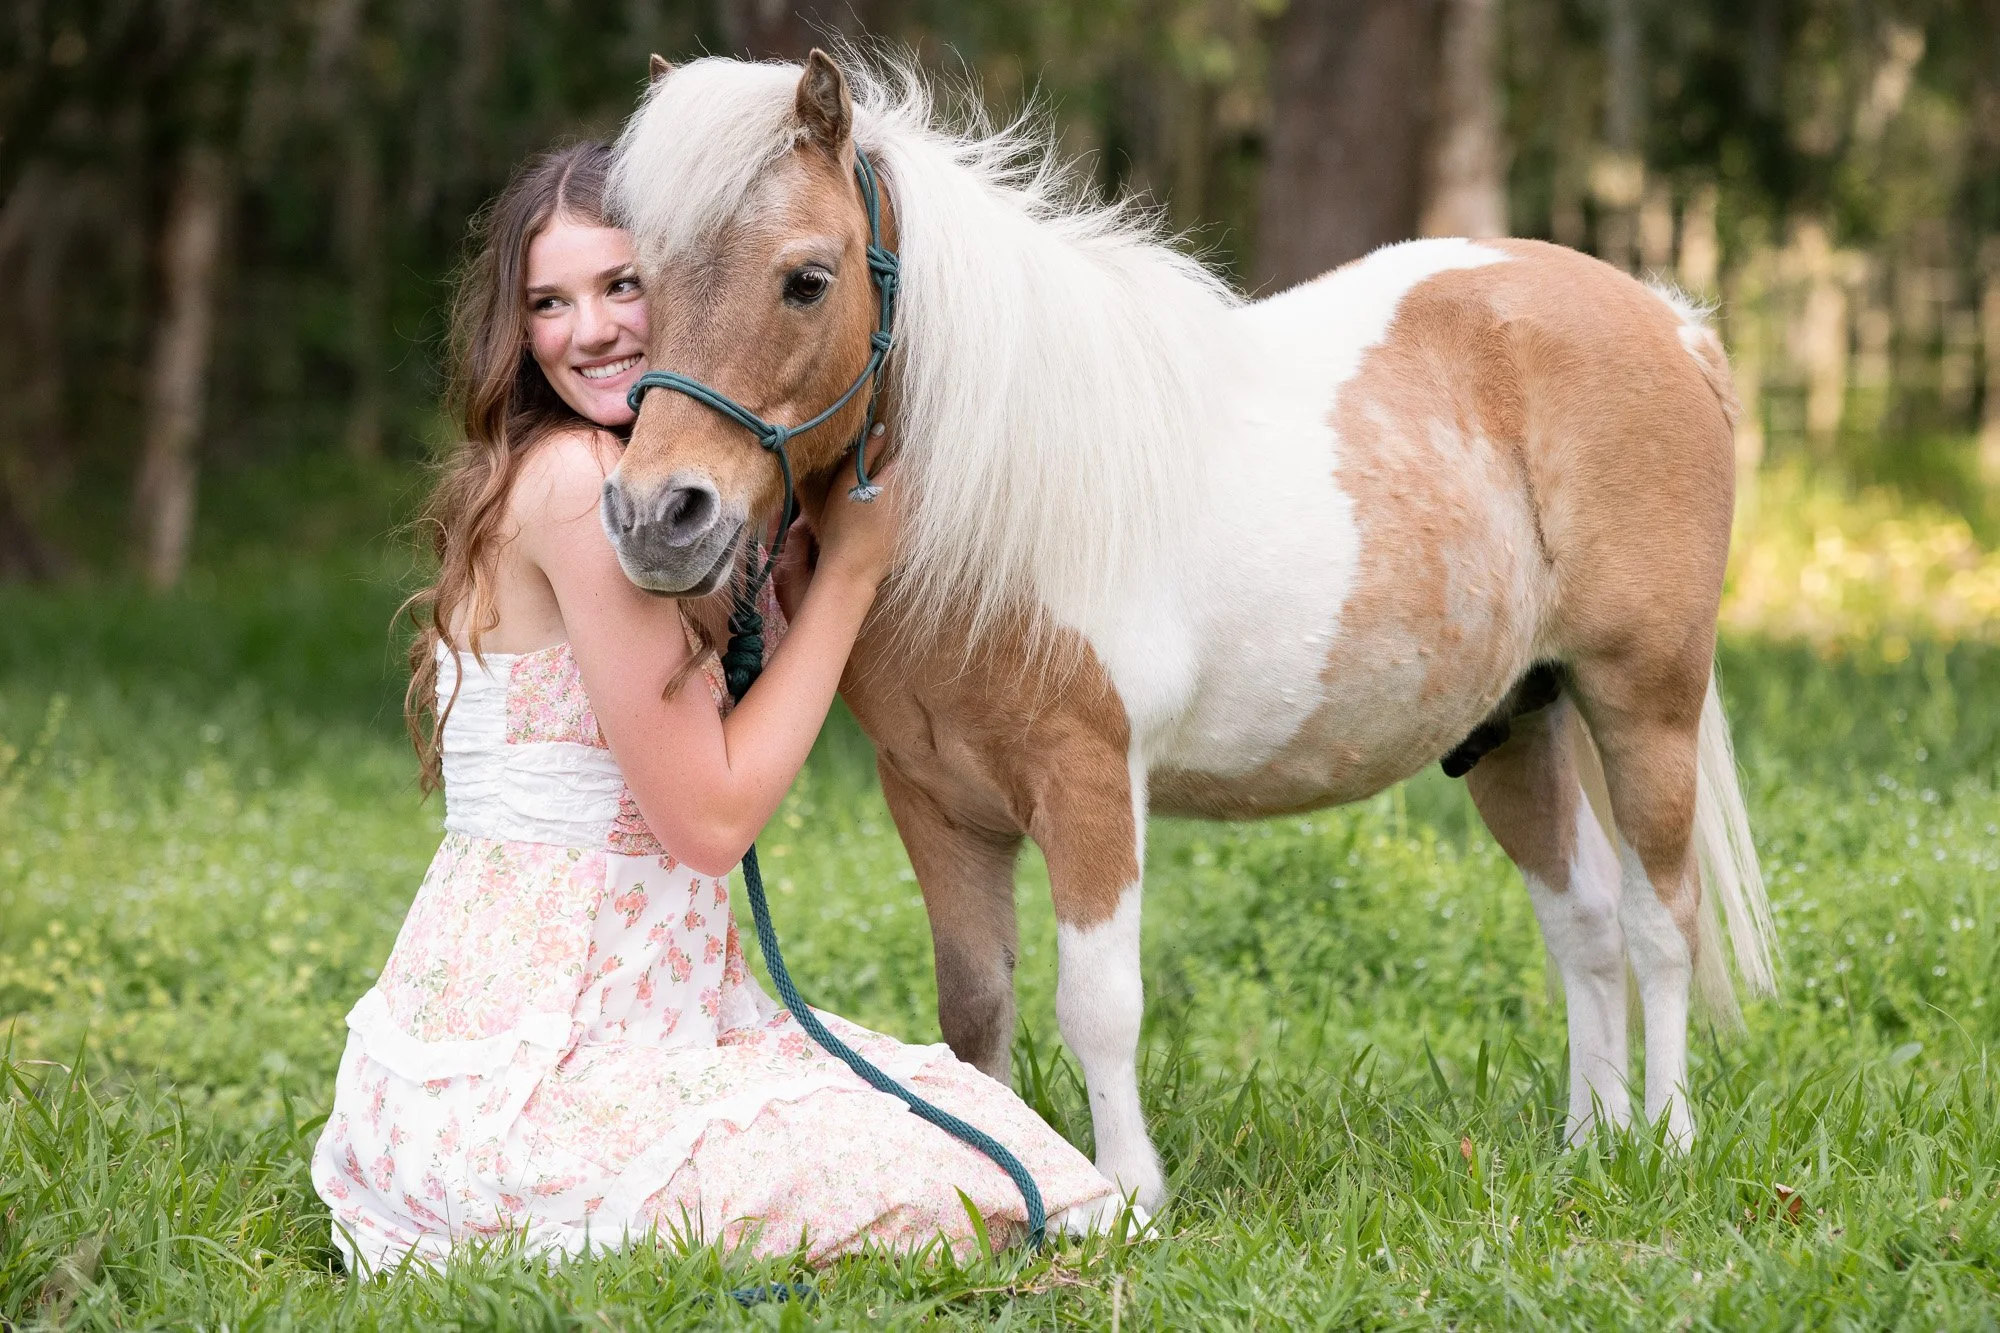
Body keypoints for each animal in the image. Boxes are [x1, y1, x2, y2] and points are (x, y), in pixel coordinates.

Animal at [599, 50, 1778, 1212]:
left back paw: (1666, 1143)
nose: (659, 515)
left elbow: (1098, 1003)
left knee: (1659, 920)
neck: (1000, 501)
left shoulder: (1088, 781)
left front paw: (1127, 1196)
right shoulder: (935, 801)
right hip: (1513, 725)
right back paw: (1592, 1141)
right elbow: (972, 1007)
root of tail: (1669, 322)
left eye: (806, 278)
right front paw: (1006, 1179)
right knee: (1583, 920)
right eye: (637, 283)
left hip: (1642, 704)